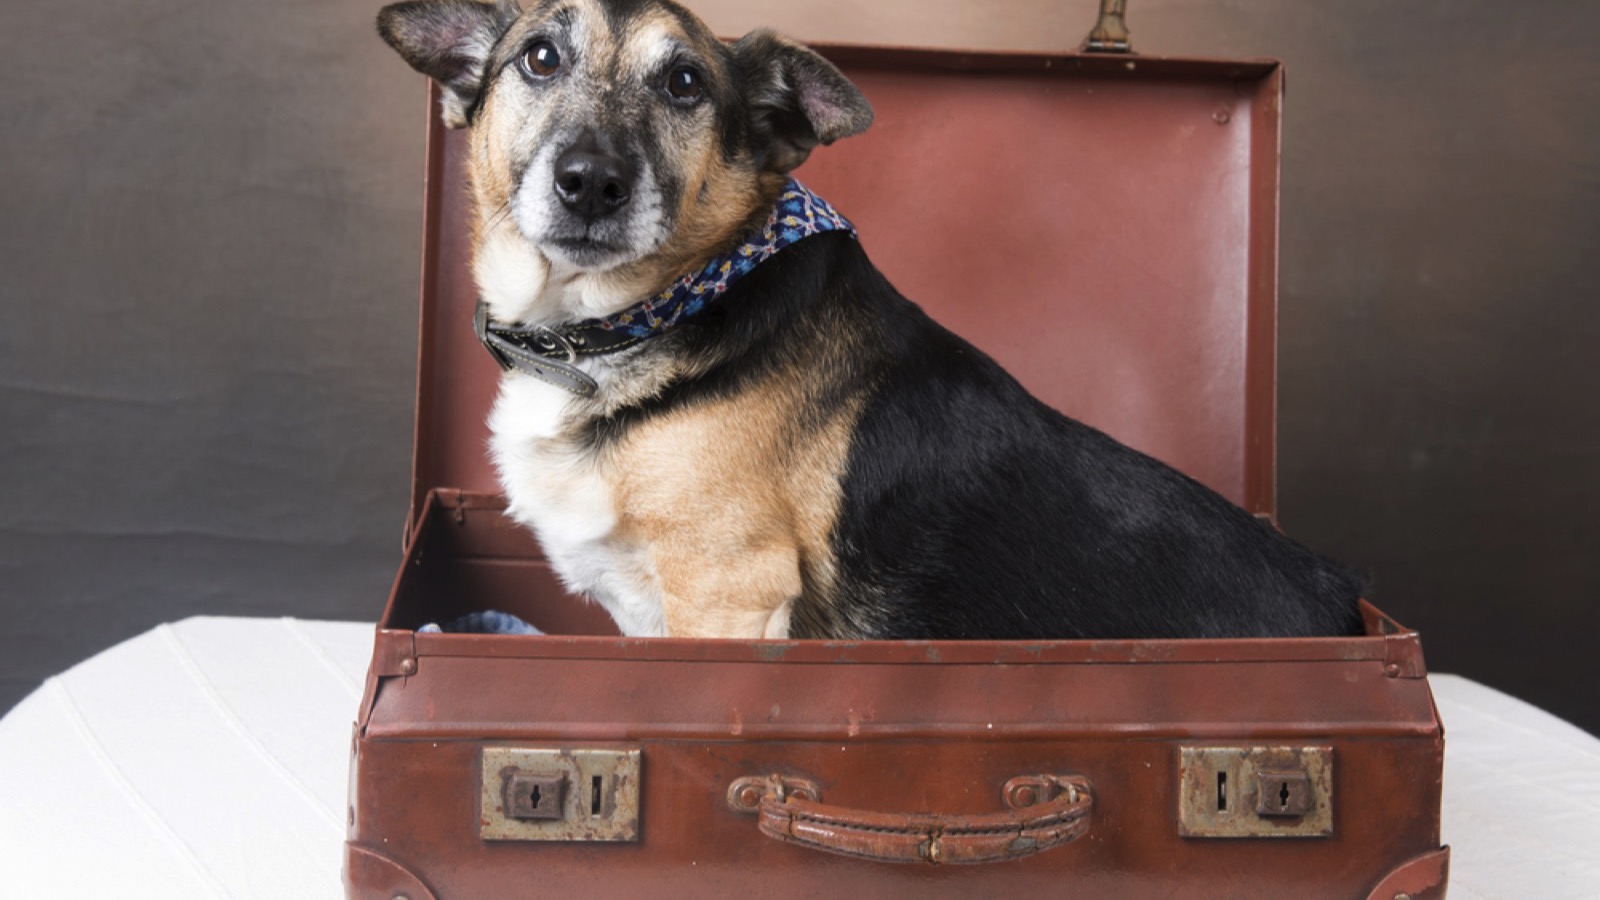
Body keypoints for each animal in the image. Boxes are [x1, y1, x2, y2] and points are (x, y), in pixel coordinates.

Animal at [374, 0, 1363, 637]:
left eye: (685, 82)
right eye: (539, 58)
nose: (590, 182)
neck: (631, 321)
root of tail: (1350, 610)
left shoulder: (727, 595)